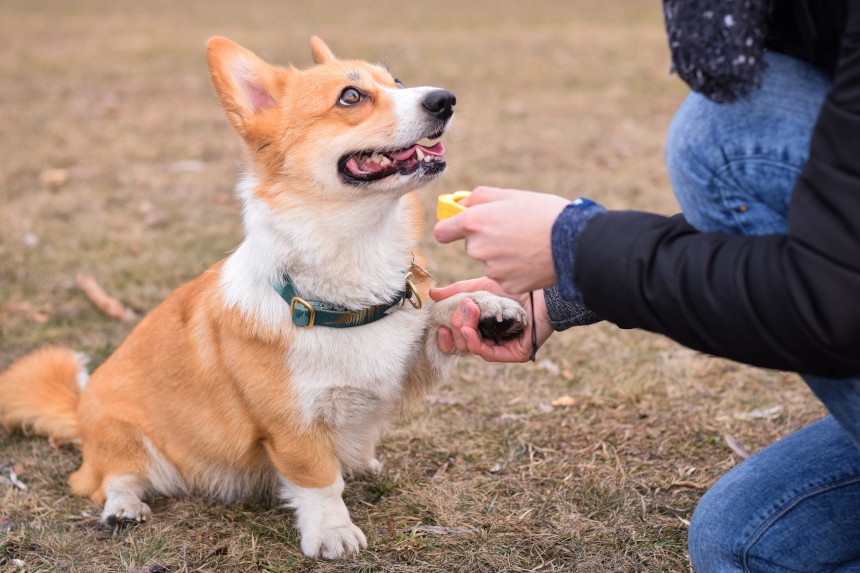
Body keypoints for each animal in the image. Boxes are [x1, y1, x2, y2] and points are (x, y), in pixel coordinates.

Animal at [0, 36, 524, 560]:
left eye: (396, 81)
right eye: (351, 96)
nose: (445, 99)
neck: (356, 260)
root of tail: (79, 408)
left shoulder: (401, 363)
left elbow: (438, 313)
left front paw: (487, 307)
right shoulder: (293, 426)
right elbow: (319, 481)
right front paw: (332, 532)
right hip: (124, 438)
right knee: (109, 478)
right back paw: (124, 507)